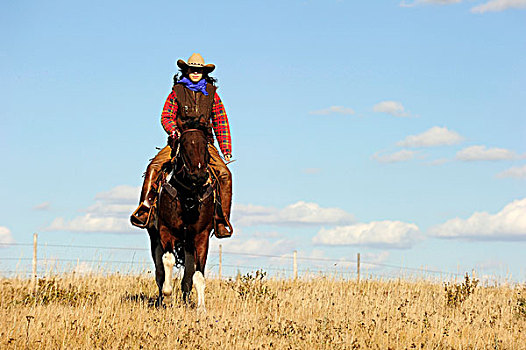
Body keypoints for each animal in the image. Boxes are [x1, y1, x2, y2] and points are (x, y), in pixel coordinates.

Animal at [147, 122, 216, 308]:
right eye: (183, 145)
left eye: (205, 145)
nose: (199, 176)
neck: (188, 196)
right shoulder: (165, 231)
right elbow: (168, 261)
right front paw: (167, 296)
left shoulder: (201, 236)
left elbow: (198, 274)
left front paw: (201, 308)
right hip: (155, 239)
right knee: (159, 272)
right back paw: (161, 299)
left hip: (188, 244)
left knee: (188, 275)